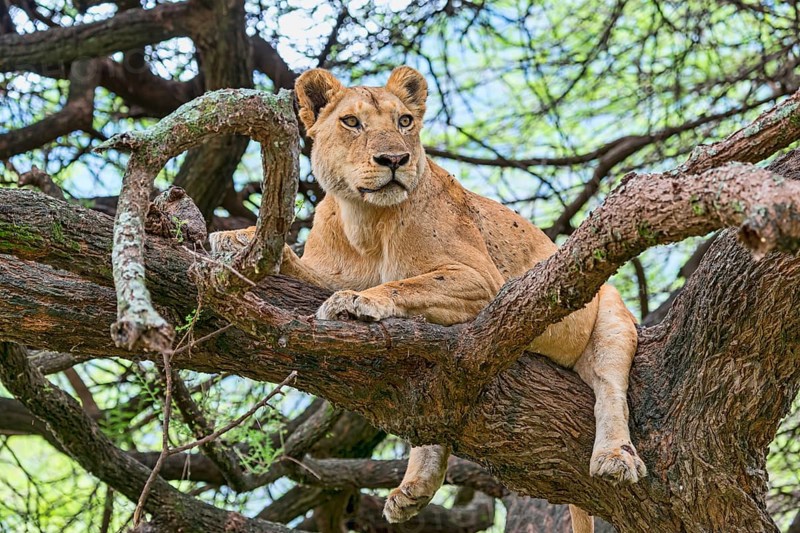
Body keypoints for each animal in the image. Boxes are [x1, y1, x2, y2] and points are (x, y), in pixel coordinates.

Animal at [210, 66, 645, 533]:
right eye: (351, 122)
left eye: (404, 121)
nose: (394, 160)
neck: (366, 221)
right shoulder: (323, 272)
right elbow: (297, 264)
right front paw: (236, 239)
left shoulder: (485, 281)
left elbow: (404, 284)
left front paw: (354, 302)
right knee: (431, 416)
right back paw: (413, 489)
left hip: (610, 314)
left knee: (609, 388)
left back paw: (615, 458)